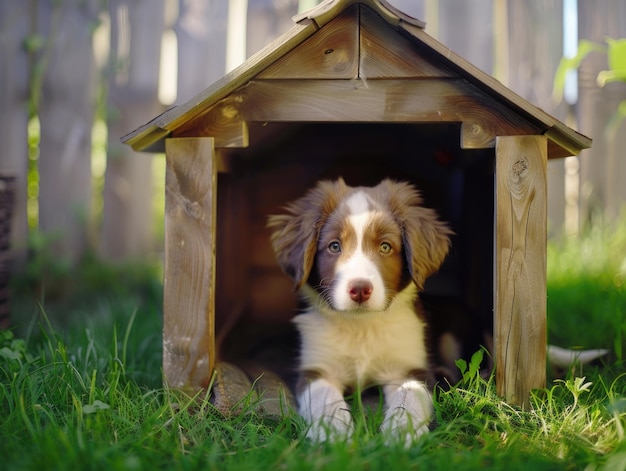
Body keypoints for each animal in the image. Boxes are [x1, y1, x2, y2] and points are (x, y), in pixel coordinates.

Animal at [266, 179, 450, 444]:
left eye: (385, 247)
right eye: (334, 246)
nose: (360, 289)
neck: (362, 326)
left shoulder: (409, 369)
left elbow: (410, 396)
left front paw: (401, 432)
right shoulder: (317, 368)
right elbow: (324, 396)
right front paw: (333, 431)